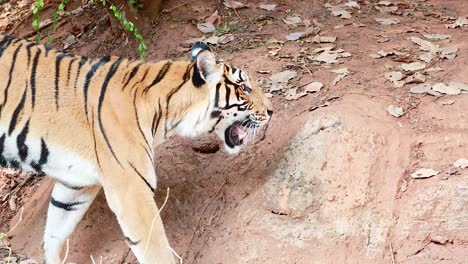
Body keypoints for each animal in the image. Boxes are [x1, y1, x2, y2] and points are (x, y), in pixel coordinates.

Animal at [0, 33, 270, 264]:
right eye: (244, 88)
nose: (271, 110)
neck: (166, 114)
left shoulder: (75, 183)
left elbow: (55, 230)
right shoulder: (132, 192)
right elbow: (156, 251)